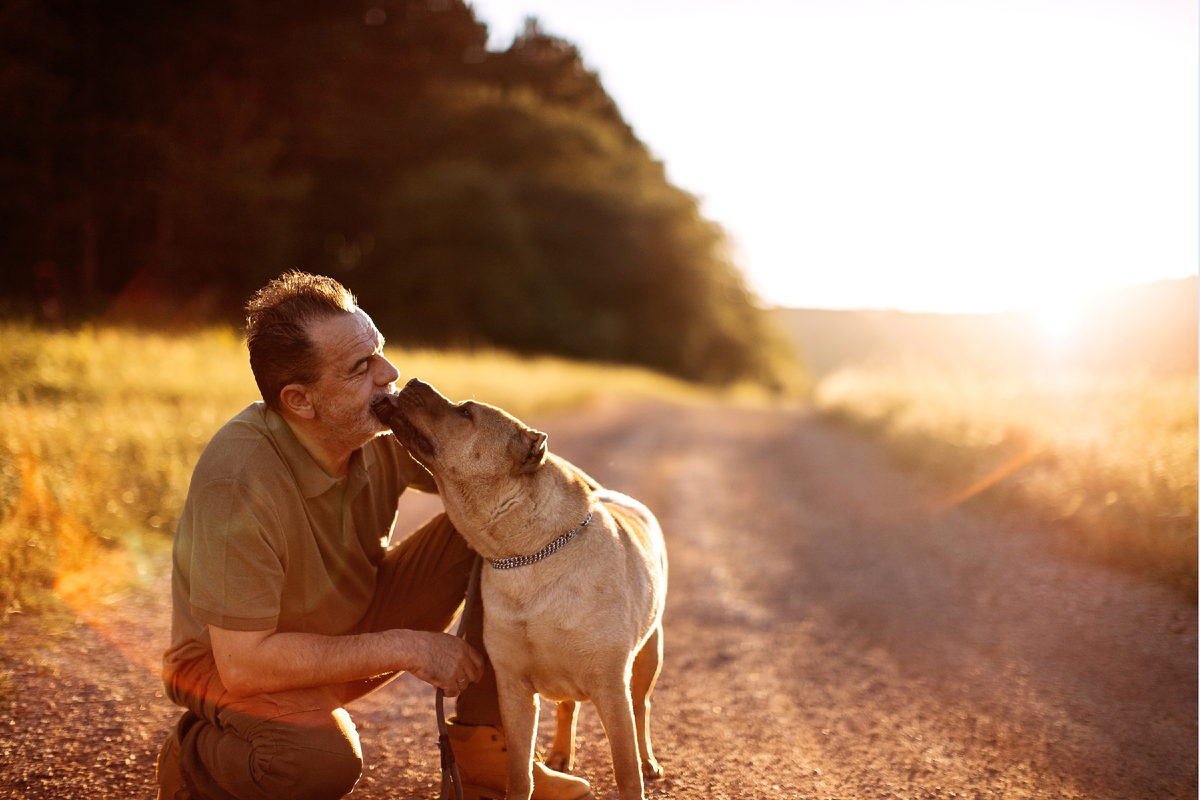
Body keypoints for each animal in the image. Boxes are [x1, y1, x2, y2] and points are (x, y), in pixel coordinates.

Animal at [372, 381, 667, 800]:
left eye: (465, 413)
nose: (413, 382)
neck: (525, 556)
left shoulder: (611, 687)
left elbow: (625, 770)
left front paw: (634, 771)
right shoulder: (513, 689)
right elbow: (518, 769)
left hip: (647, 657)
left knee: (641, 709)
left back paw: (647, 760)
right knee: (567, 707)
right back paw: (560, 756)